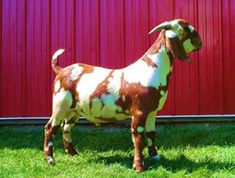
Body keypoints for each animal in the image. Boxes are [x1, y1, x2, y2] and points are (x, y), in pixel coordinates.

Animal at [44, 19, 202, 172]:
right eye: (187, 29)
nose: (200, 41)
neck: (152, 68)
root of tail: (61, 70)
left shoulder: (152, 112)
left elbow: (151, 134)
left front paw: (155, 157)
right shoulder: (139, 112)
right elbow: (138, 139)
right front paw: (139, 167)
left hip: (74, 111)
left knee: (66, 128)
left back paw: (72, 153)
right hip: (60, 106)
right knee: (50, 128)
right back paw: (50, 159)